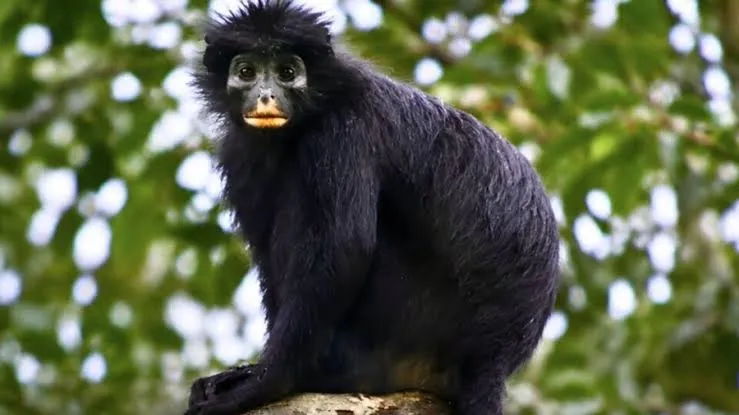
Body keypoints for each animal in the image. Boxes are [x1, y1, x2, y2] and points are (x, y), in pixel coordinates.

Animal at [185, 1, 560, 414]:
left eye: (287, 73)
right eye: (246, 72)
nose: (266, 96)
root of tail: (493, 359)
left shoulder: (342, 132)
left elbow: (342, 250)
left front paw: (266, 382)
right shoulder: (238, 153)